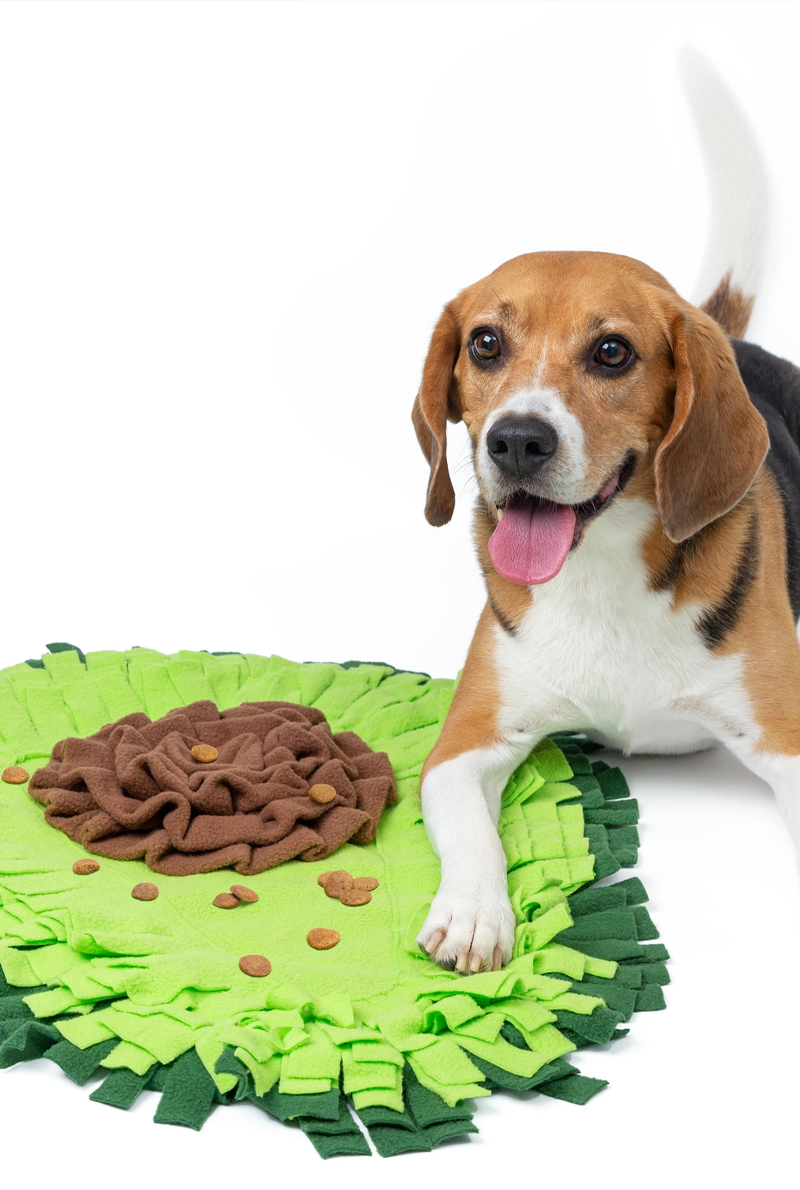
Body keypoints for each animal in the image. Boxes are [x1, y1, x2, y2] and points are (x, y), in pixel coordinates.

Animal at [416, 253, 800, 975]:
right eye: (485, 343)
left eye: (612, 352)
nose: (517, 440)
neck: (600, 570)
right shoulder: (464, 743)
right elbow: (474, 835)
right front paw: (474, 915)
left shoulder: (785, 741)